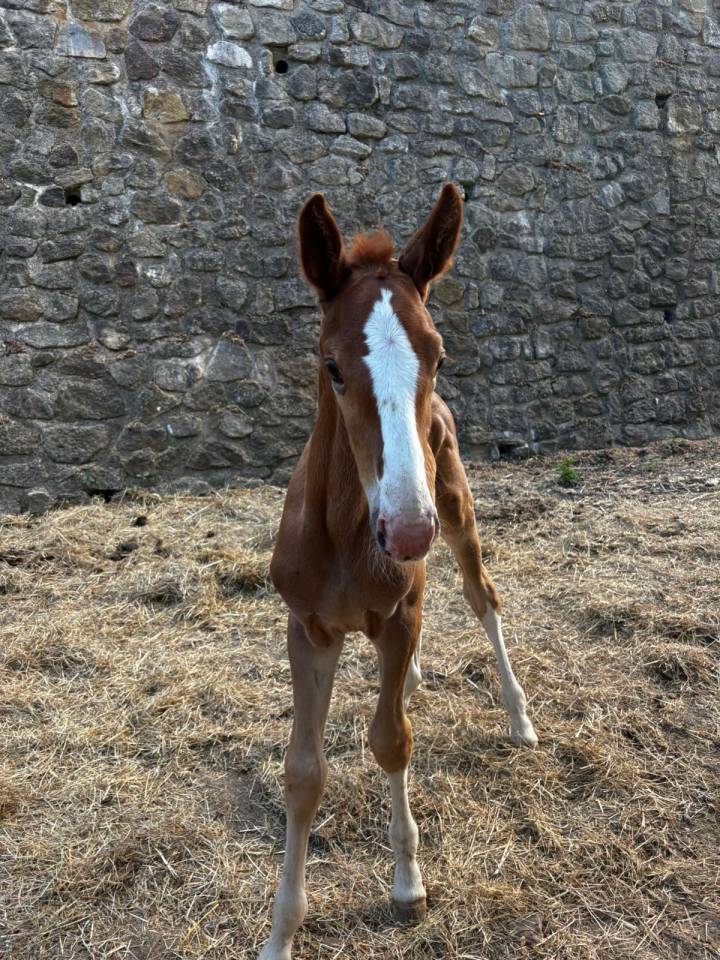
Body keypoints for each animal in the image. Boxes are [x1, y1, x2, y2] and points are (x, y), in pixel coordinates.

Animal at [258, 183, 537, 960]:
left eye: (436, 355)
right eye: (331, 365)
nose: (408, 529)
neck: (350, 536)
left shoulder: (400, 604)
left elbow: (392, 741)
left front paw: (408, 883)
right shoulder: (308, 629)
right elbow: (303, 772)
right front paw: (281, 930)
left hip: (457, 513)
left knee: (480, 596)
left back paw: (519, 715)